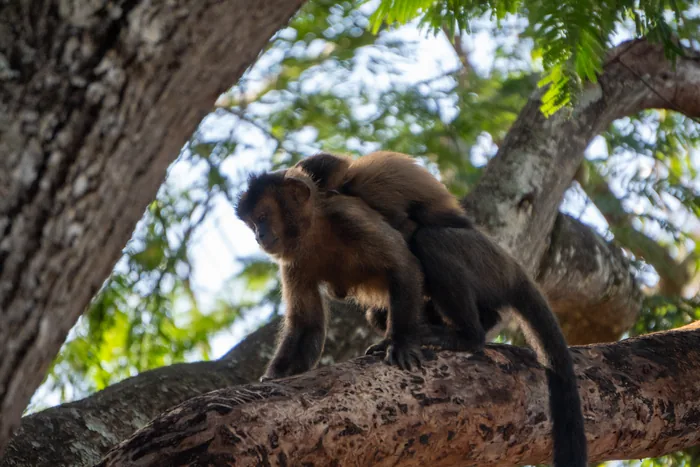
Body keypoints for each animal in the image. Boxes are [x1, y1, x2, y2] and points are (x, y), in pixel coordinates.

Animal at [296, 151, 588, 467]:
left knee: (429, 240)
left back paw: (467, 336)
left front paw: (395, 340)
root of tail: (510, 266)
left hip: (483, 262)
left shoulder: (366, 196)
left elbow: (404, 238)